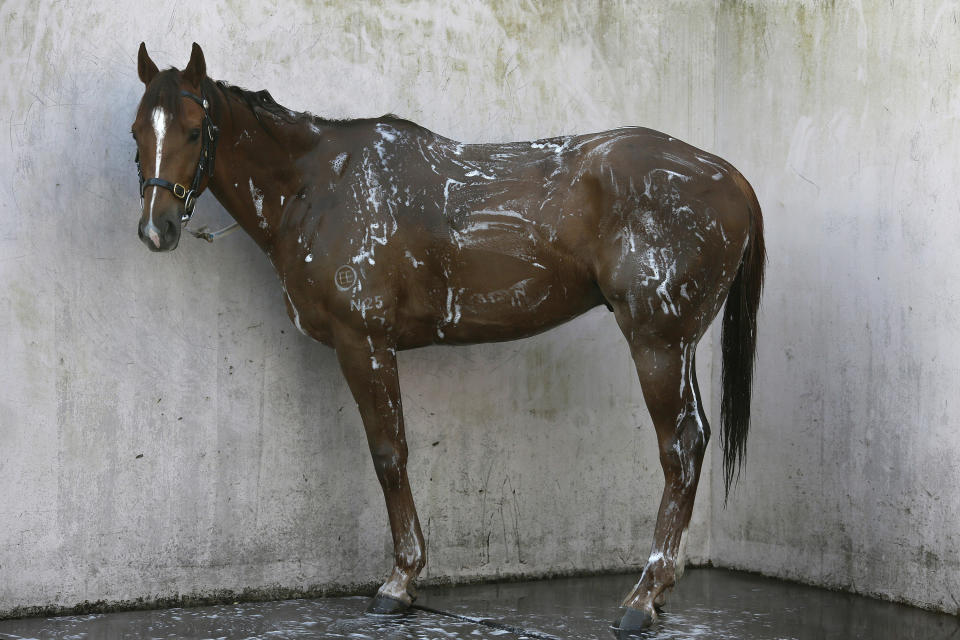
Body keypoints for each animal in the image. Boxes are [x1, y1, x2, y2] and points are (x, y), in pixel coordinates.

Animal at [129, 45, 764, 636]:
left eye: (193, 130)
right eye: (139, 131)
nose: (157, 229)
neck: (321, 183)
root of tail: (730, 176)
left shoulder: (364, 343)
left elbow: (390, 455)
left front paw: (399, 581)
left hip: (658, 342)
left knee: (681, 445)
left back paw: (642, 597)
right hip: (675, 346)